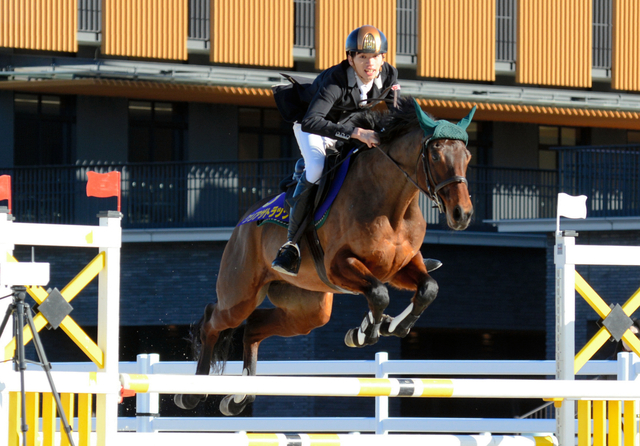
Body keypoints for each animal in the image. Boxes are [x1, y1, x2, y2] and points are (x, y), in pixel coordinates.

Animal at [175, 96, 476, 414]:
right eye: (435, 155)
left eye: (467, 156)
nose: (462, 214)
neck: (390, 203)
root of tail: (243, 222)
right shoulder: (339, 266)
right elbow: (379, 294)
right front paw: (366, 332)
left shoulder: (400, 266)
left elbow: (428, 288)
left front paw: (392, 325)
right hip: (240, 295)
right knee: (213, 319)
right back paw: (193, 392)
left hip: (308, 310)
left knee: (254, 328)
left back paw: (239, 398)